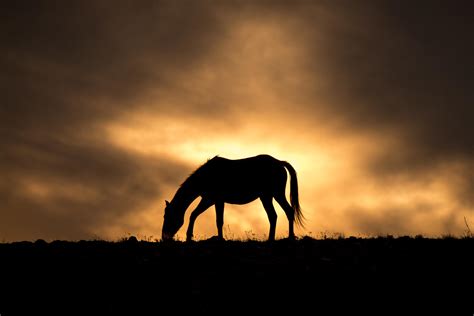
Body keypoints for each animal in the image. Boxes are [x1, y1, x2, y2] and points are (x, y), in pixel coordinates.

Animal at [162, 154, 304, 241]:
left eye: (167, 216)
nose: (164, 237)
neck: (206, 177)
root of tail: (279, 162)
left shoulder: (213, 200)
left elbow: (214, 220)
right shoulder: (211, 200)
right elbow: (198, 215)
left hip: (276, 194)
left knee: (287, 211)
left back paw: (289, 237)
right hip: (266, 196)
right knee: (274, 216)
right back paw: (272, 239)